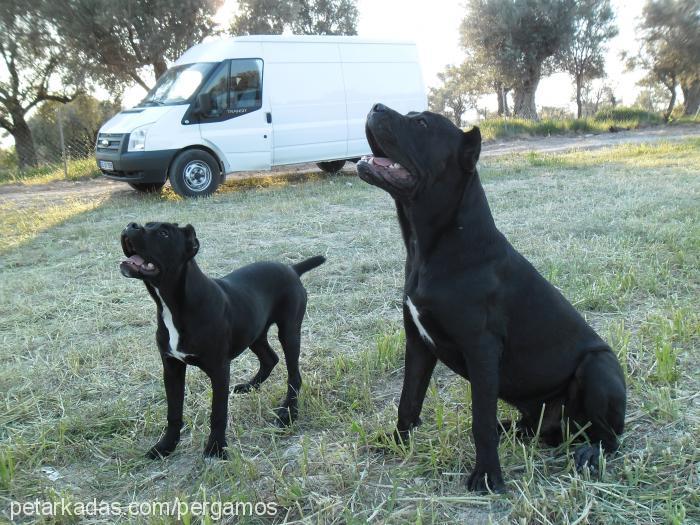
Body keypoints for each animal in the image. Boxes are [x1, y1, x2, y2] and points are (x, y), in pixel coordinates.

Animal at [119, 222, 326, 458]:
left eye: (164, 233)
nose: (131, 225)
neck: (174, 304)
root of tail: (292, 268)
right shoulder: (171, 367)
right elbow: (173, 412)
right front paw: (166, 446)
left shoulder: (219, 369)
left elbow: (218, 413)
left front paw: (216, 448)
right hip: (255, 333)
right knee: (270, 358)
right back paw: (249, 386)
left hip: (289, 333)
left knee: (294, 375)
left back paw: (288, 413)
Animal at [358, 103, 628, 492]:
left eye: (421, 123)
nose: (375, 106)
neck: (433, 244)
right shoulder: (418, 343)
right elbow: (408, 400)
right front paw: (397, 442)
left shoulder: (481, 348)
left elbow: (480, 420)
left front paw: (487, 476)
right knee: (538, 431)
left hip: (599, 366)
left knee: (608, 437)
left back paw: (590, 453)